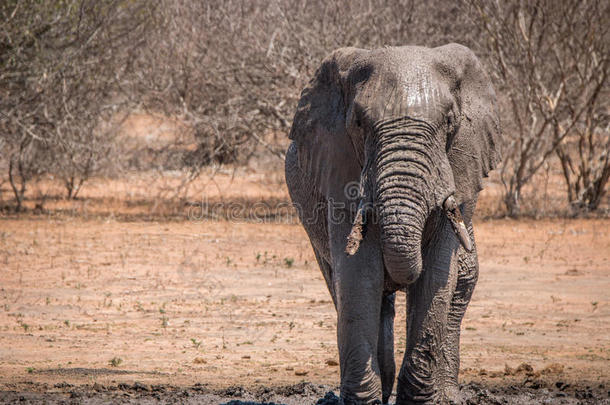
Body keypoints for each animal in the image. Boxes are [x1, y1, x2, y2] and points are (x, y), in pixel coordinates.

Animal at [282, 42, 496, 402]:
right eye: (358, 123)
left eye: (449, 121)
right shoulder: (339, 167)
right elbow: (357, 274)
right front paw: (362, 401)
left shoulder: (460, 164)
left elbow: (438, 272)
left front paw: (420, 399)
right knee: (344, 284)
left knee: (464, 278)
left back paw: (447, 394)